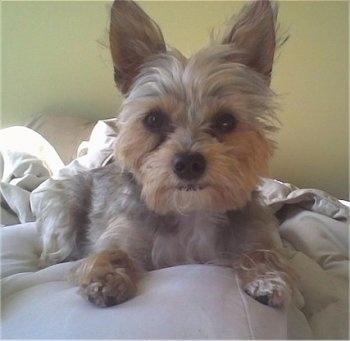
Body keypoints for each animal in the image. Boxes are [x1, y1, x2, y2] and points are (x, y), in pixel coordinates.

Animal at [37, 0, 296, 308]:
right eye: (153, 120)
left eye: (226, 121)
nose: (188, 163)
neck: (191, 211)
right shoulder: (121, 234)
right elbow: (111, 253)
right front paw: (106, 280)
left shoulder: (255, 233)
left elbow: (262, 253)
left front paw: (267, 279)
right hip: (64, 206)